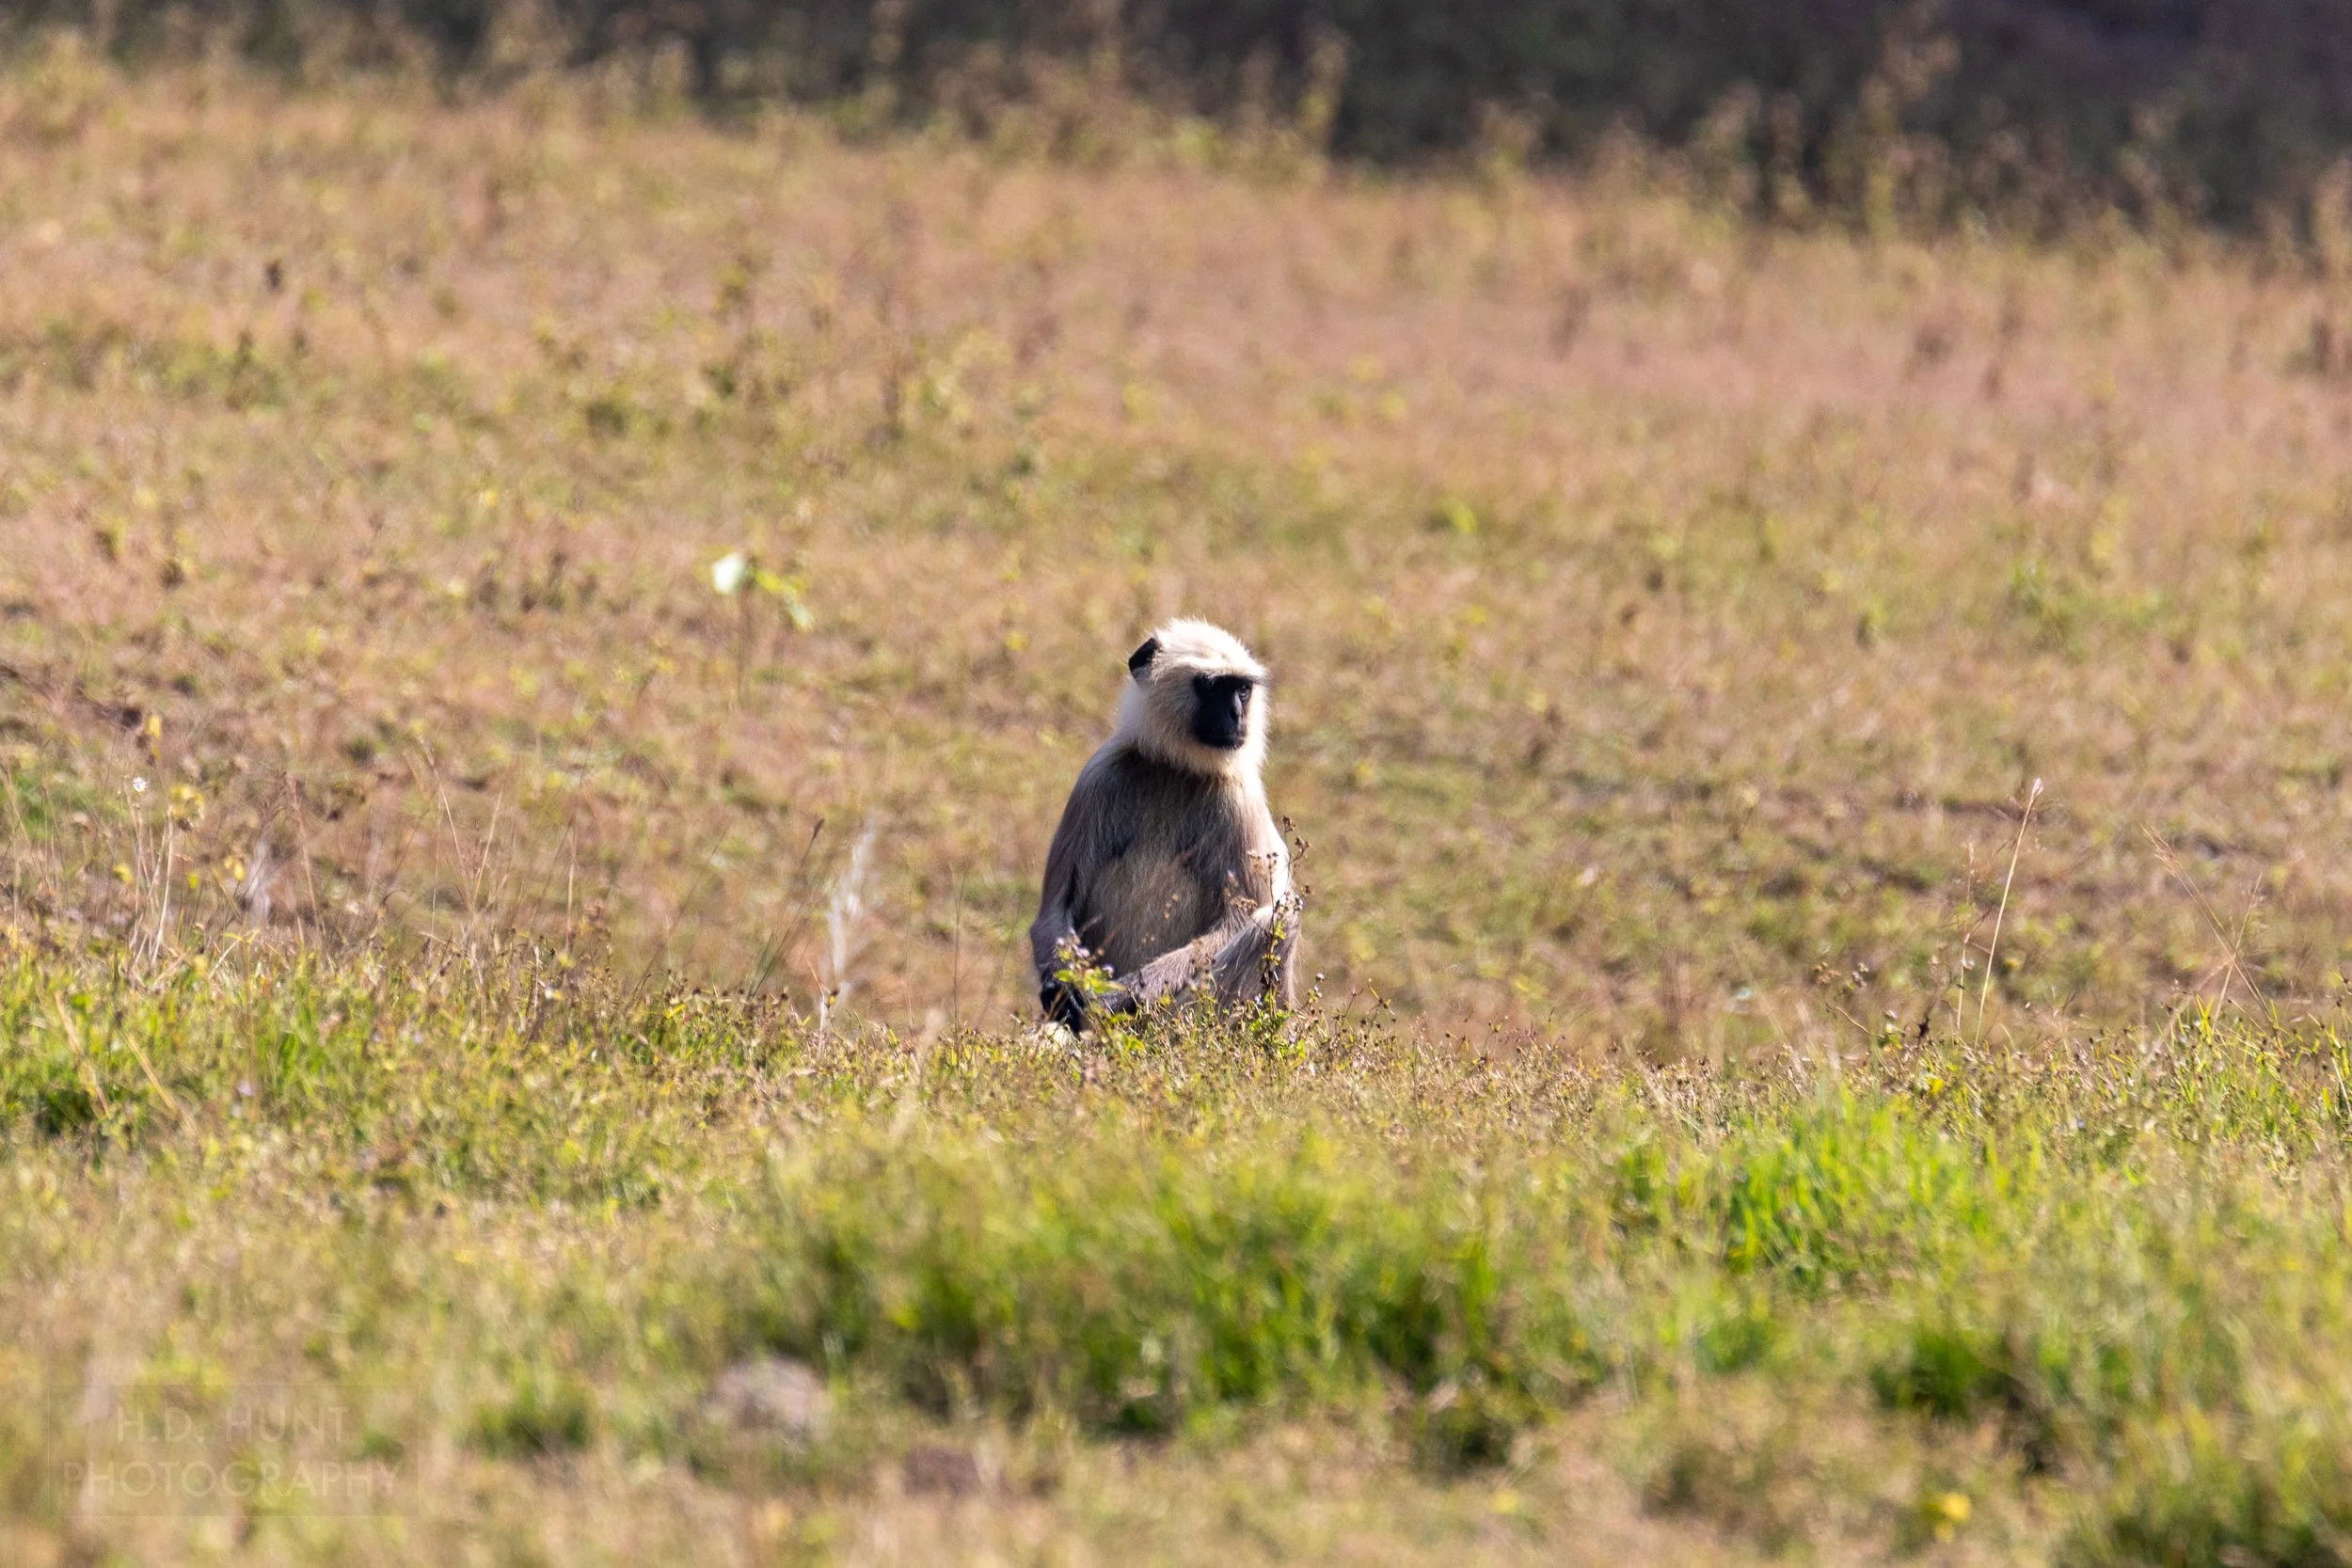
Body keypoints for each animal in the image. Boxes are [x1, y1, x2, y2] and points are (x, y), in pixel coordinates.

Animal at [1030, 619, 1302, 1030]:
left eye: (1242, 689)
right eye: (1213, 688)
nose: (1236, 715)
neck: (1177, 768)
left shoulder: (1239, 798)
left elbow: (1242, 918)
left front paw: (1109, 998)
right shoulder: (1098, 777)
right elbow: (1054, 909)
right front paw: (1063, 991)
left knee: (1281, 917)